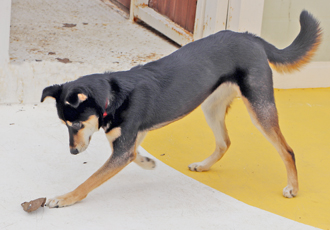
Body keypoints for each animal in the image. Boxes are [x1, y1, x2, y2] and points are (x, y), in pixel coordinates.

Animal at [42, 11, 322, 208]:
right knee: (224, 142)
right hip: (211, 106)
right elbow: (132, 154)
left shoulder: (122, 147)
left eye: (77, 125)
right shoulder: (127, 142)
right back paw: (204, 165)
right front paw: (146, 161)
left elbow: (90, 180)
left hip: (259, 108)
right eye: (65, 126)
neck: (113, 95)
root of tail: (250, 37)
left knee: (287, 150)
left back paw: (293, 188)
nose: (73, 152)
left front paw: (65, 198)